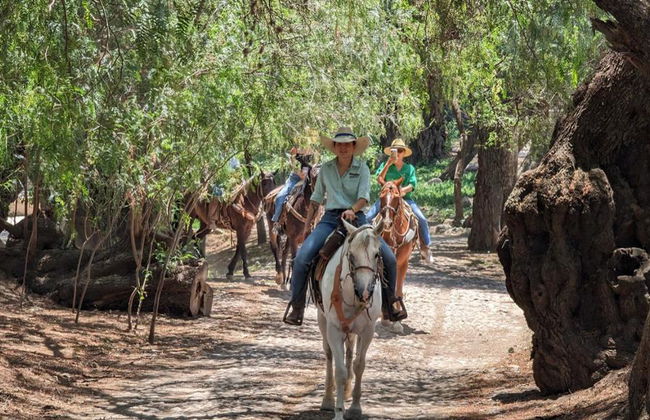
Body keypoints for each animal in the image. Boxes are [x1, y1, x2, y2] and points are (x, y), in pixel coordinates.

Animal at [316, 219, 384, 420]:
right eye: (351, 256)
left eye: (377, 254)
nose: (365, 292)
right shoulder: (335, 330)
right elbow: (340, 371)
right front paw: (339, 411)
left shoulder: (368, 330)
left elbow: (359, 365)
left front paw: (355, 407)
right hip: (322, 320)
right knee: (329, 355)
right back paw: (328, 400)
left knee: (350, 353)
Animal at [376, 179, 418, 333]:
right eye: (381, 196)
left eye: (396, 197)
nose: (387, 222)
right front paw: (385, 317)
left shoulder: (403, 263)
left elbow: (397, 290)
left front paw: (397, 322)